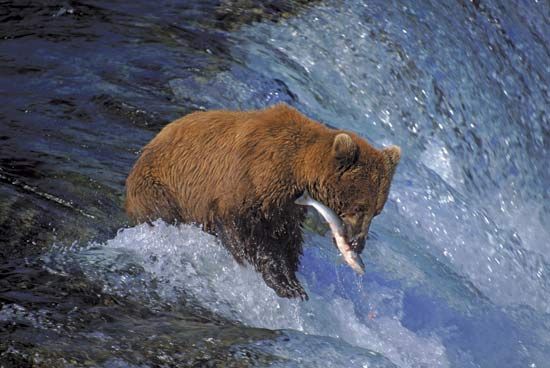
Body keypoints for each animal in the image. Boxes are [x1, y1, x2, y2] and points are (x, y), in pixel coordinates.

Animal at [125, 103, 402, 300]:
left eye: (377, 211)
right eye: (359, 207)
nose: (358, 243)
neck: (296, 171)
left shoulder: (286, 208)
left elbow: (287, 239)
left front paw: (291, 279)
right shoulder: (247, 179)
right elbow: (242, 230)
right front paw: (285, 283)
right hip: (161, 189)